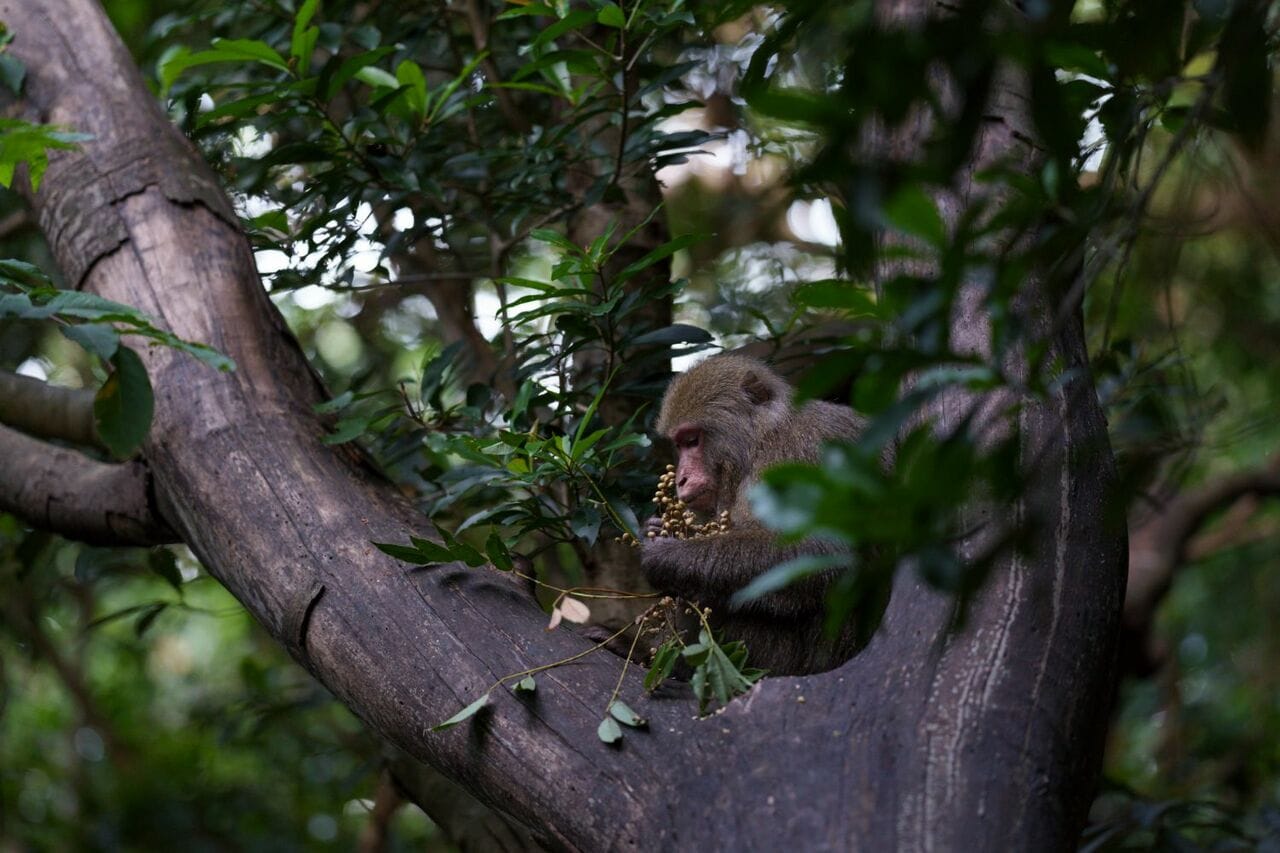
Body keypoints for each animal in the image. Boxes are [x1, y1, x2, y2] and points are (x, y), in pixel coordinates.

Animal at [640, 350, 870, 671]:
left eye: (692, 440)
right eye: (679, 444)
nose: (681, 479)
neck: (761, 441)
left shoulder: (793, 457)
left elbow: (823, 549)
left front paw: (665, 557)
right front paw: (652, 528)